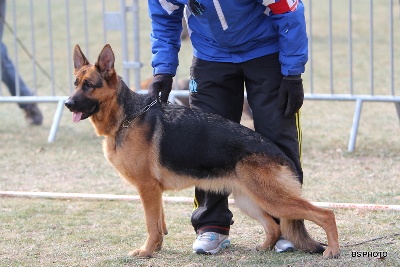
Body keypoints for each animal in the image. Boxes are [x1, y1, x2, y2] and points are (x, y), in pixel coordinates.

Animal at [64, 44, 340, 260]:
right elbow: (159, 223)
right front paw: (157, 248)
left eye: (89, 85)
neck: (127, 117)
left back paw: (333, 250)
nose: (67, 103)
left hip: (272, 199)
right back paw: (263, 248)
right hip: (249, 200)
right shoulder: (154, 191)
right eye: (76, 84)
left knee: (325, 213)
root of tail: (280, 154)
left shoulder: (147, 188)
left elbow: (151, 225)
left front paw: (146, 251)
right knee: (273, 226)